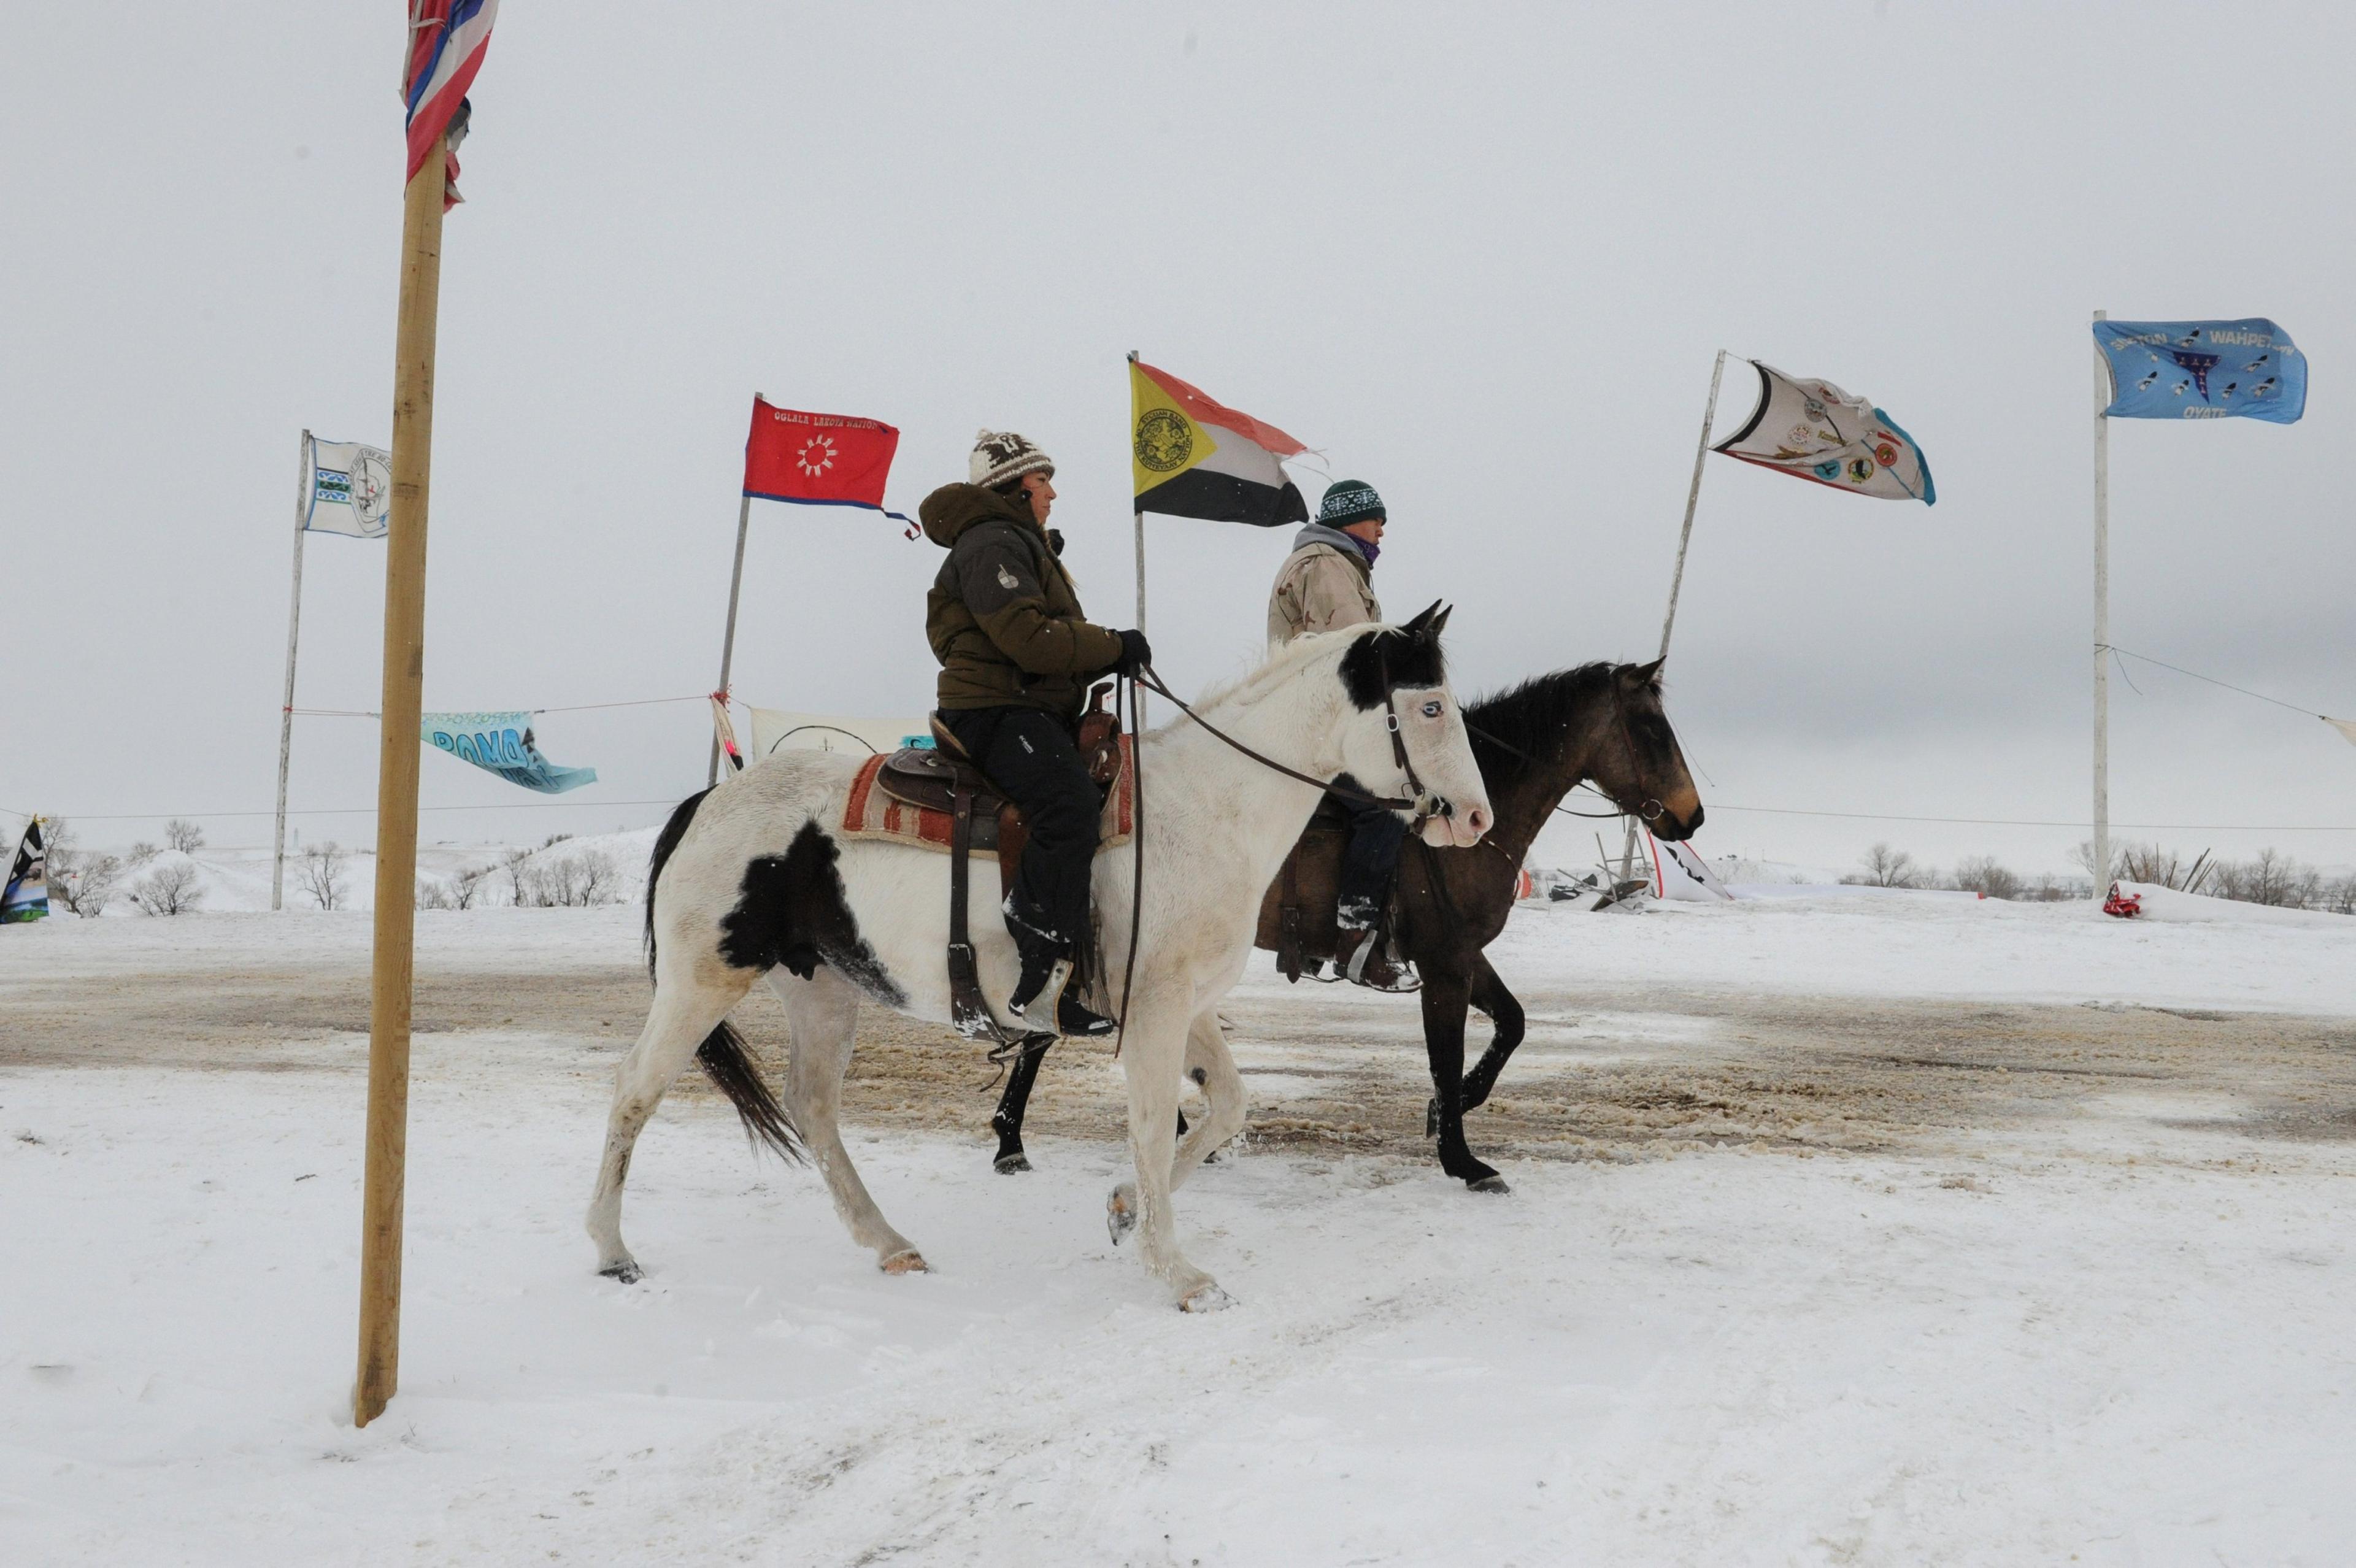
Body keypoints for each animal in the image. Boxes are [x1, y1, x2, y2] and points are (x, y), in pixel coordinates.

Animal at [598, 607, 1498, 1309]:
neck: (1206, 810)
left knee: (811, 1107)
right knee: (636, 1092)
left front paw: (1127, 1210)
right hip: (701, 981)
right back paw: (612, 1253)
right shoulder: (1156, 1009)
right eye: (1428, 706)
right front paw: (1179, 1274)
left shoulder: (1184, 1005)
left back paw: (889, 1242)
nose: (1475, 819)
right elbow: (1151, 1120)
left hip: (821, 990)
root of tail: (706, 803)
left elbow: (1226, 1107)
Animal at [985, 654, 1706, 1186]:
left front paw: (1454, 1108)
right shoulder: (1445, 965)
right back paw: (1012, 1138)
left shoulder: (1463, 956)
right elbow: (1446, 1055)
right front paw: (1462, 1159)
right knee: (1046, 1029)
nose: (1691, 816)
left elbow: (1512, 1025)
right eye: (1651, 730)